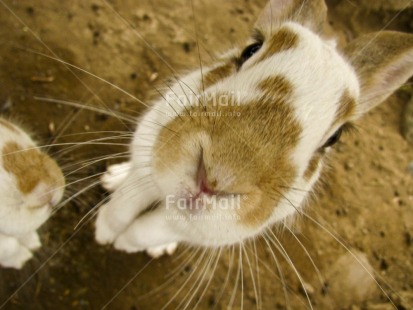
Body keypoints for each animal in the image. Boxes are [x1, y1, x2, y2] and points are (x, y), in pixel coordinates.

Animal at [93, 0, 412, 258]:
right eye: (251, 49)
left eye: (335, 137)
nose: (215, 180)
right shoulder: (147, 156)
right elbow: (125, 204)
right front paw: (104, 232)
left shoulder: (206, 229)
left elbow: (148, 230)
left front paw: (124, 243)